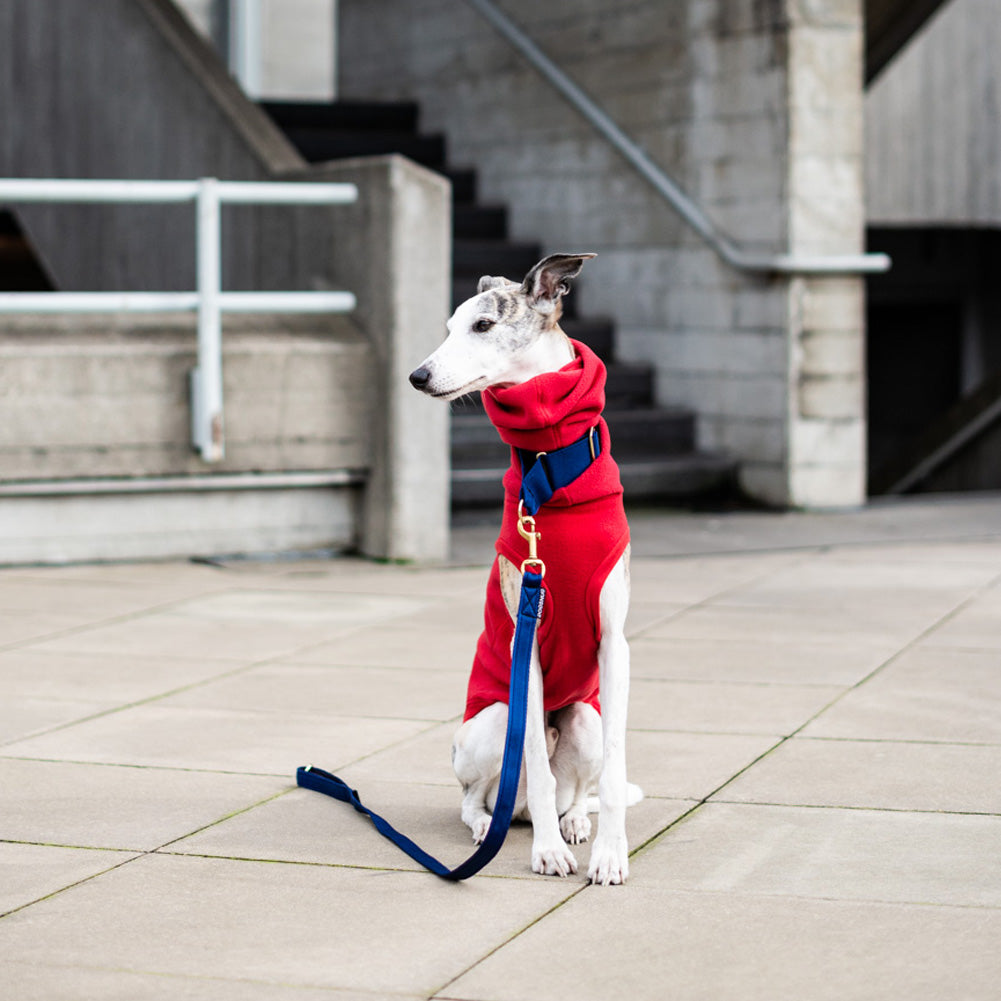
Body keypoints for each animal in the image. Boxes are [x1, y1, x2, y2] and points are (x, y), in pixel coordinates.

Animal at [408, 252, 636, 884]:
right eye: (448, 328)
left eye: (483, 325)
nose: (418, 376)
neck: (549, 467)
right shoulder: (524, 649)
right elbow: (531, 750)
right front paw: (548, 856)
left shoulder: (615, 645)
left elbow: (614, 772)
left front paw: (609, 853)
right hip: (491, 719)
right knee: (484, 795)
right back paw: (494, 825)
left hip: (585, 717)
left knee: (573, 788)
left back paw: (574, 821)